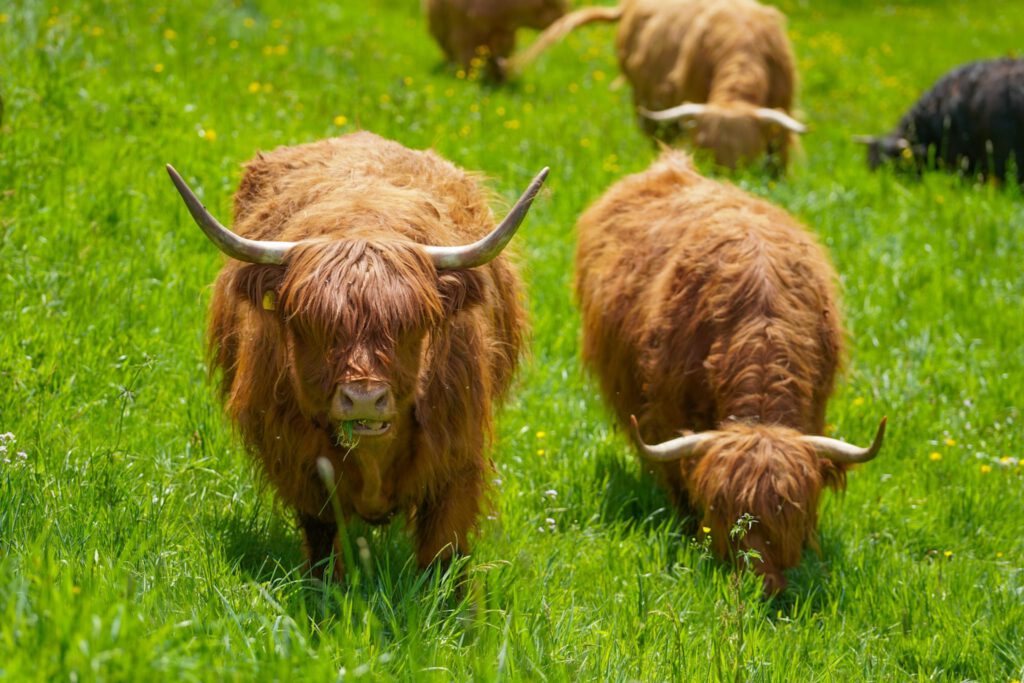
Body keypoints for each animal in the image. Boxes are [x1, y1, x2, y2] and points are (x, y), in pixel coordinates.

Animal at [167, 132, 547, 581]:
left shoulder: (457, 463)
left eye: (411, 324)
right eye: (310, 322)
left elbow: (442, 555)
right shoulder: (302, 464)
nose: (364, 399)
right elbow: (322, 542)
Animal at [424, 0, 567, 81]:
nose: (564, 14)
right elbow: (469, 63)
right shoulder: (463, 38)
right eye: (550, 4)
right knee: (451, 57)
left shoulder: (507, 38)